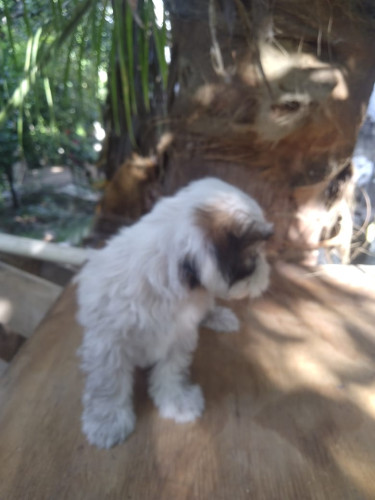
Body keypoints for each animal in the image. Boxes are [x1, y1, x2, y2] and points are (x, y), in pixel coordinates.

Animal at [75, 177, 274, 450]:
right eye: (251, 255)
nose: (265, 271)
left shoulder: (180, 334)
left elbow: (172, 367)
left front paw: (176, 401)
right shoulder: (107, 341)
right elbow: (108, 381)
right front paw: (108, 421)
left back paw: (217, 316)